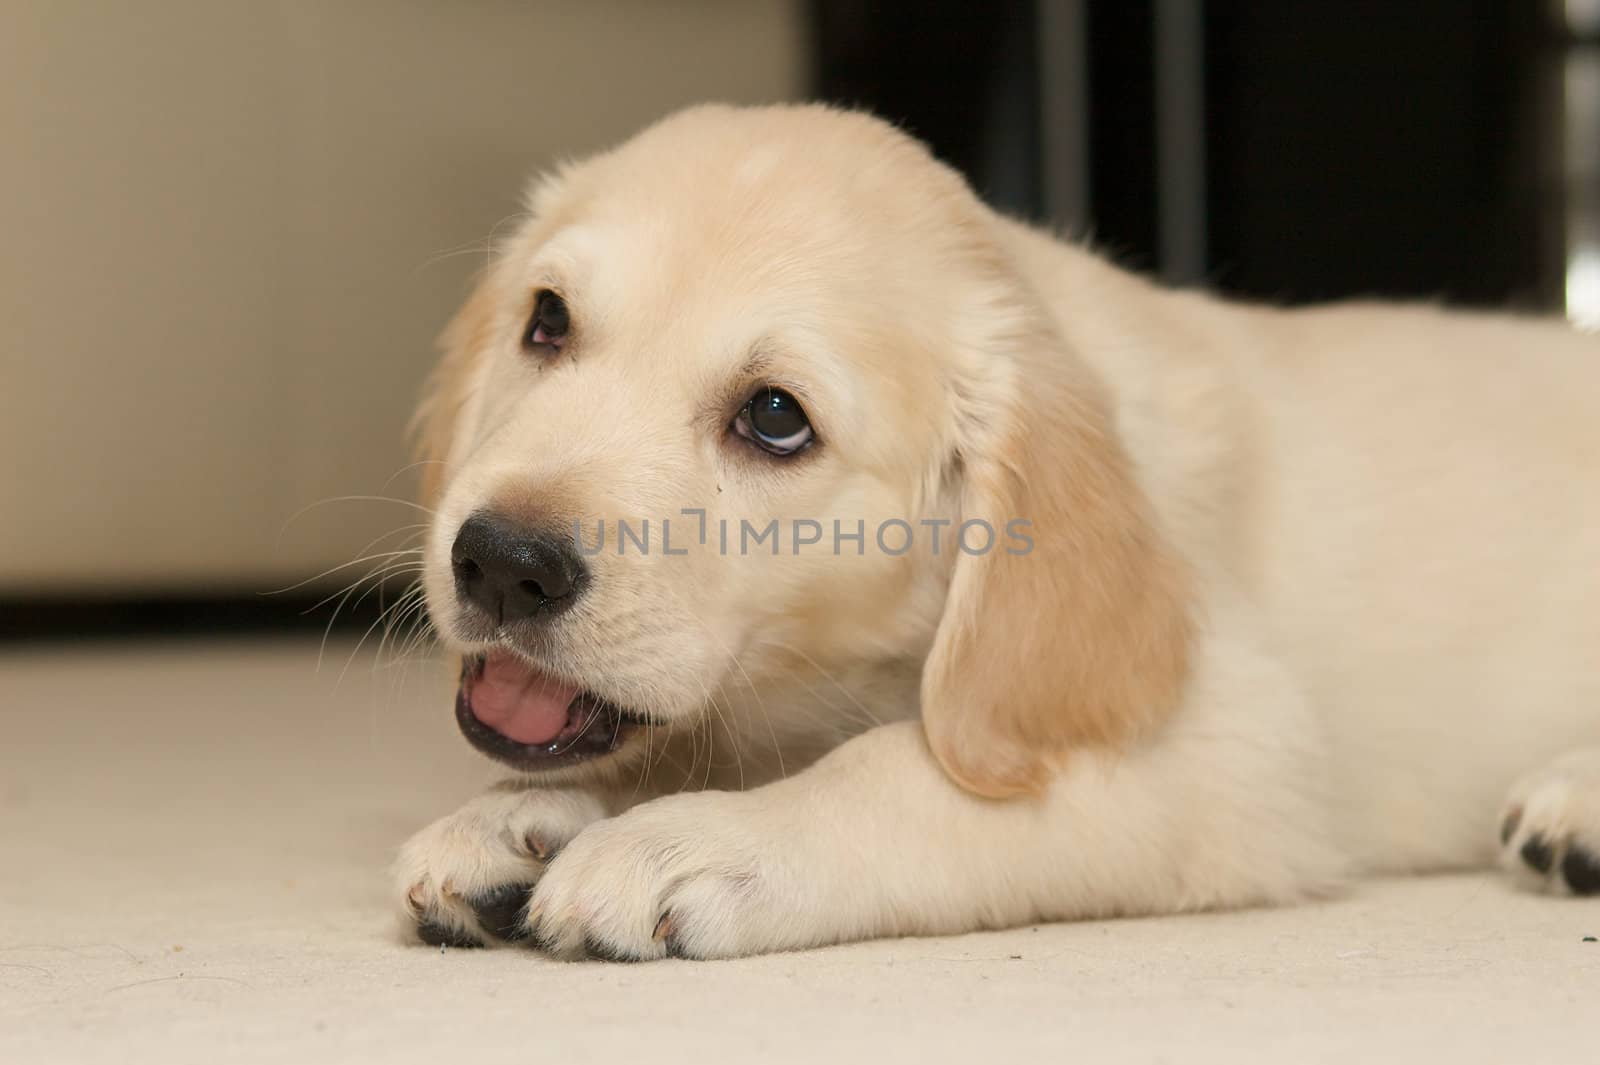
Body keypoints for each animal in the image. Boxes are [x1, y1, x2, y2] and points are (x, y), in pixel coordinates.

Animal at [390, 103, 1600, 959]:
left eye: (775, 418)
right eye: (547, 321)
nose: (501, 563)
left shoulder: (1236, 756)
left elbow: (894, 771)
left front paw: (684, 839)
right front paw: (522, 819)